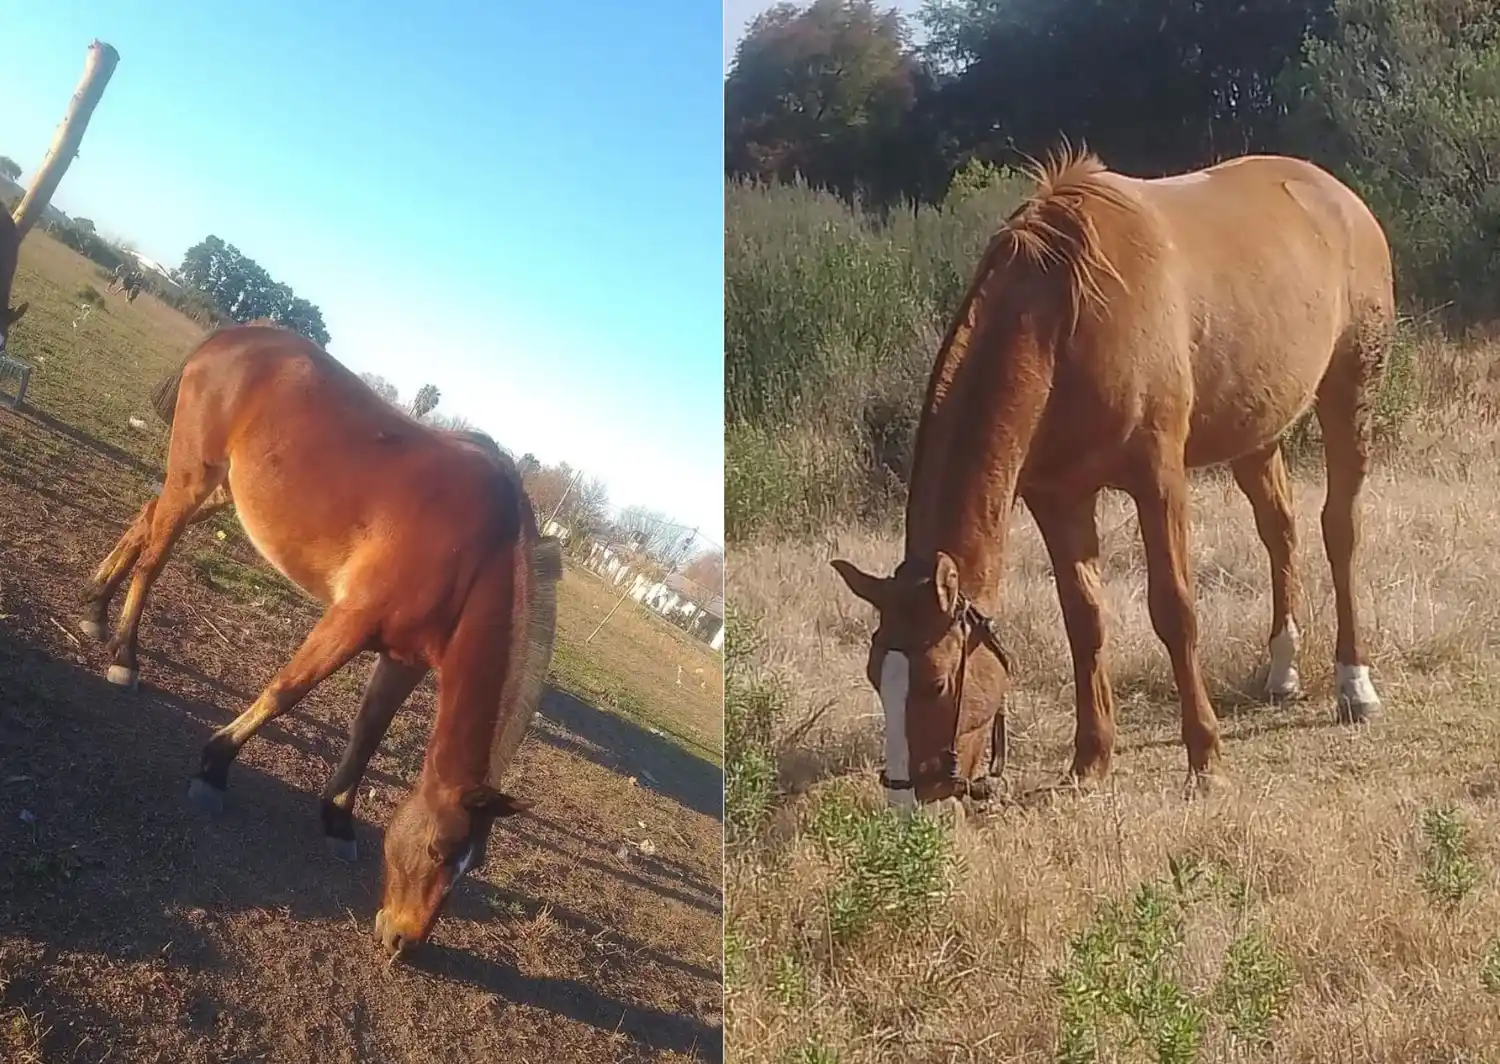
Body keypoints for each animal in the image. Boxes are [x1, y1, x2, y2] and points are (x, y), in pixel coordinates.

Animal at [78, 323, 563, 956]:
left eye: (472, 865)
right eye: (438, 849)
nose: (402, 941)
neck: (476, 555)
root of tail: (233, 336)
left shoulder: (404, 657)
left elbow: (368, 734)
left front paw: (337, 821)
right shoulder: (350, 621)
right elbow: (287, 691)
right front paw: (213, 767)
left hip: (220, 487)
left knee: (146, 517)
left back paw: (94, 609)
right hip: (195, 474)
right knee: (155, 556)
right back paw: (125, 656)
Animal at [832, 147, 1395, 808]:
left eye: (938, 682)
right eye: (876, 673)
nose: (904, 800)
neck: (1065, 316)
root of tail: (1337, 195)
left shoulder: (1159, 481)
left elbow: (1174, 612)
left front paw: (1205, 759)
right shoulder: (1059, 499)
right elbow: (1084, 621)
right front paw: (1090, 760)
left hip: (1350, 391)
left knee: (1339, 529)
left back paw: (1353, 684)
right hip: (1257, 432)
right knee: (1280, 531)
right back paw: (1282, 669)